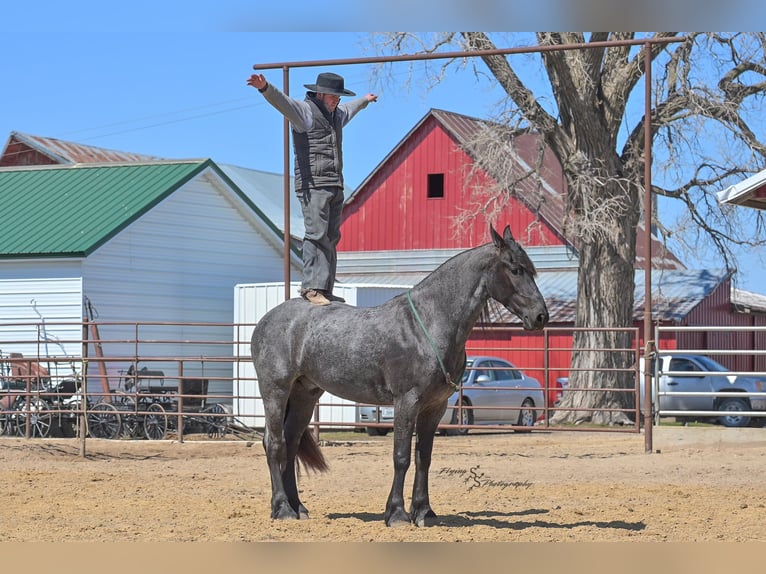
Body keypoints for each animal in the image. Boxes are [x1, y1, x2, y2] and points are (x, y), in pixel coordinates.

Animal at [250, 224, 549, 527]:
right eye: (515, 269)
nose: (540, 316)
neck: (427, 324)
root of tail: (267, 320)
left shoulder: (435, 407)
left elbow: (423, 457)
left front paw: (424, 512)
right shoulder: (407, 402)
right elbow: (401, 456)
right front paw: (396, 513)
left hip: (305, 394)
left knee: (291, 443)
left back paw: (298, 507)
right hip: (276, 391)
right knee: (274, 444)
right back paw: (282, 509)